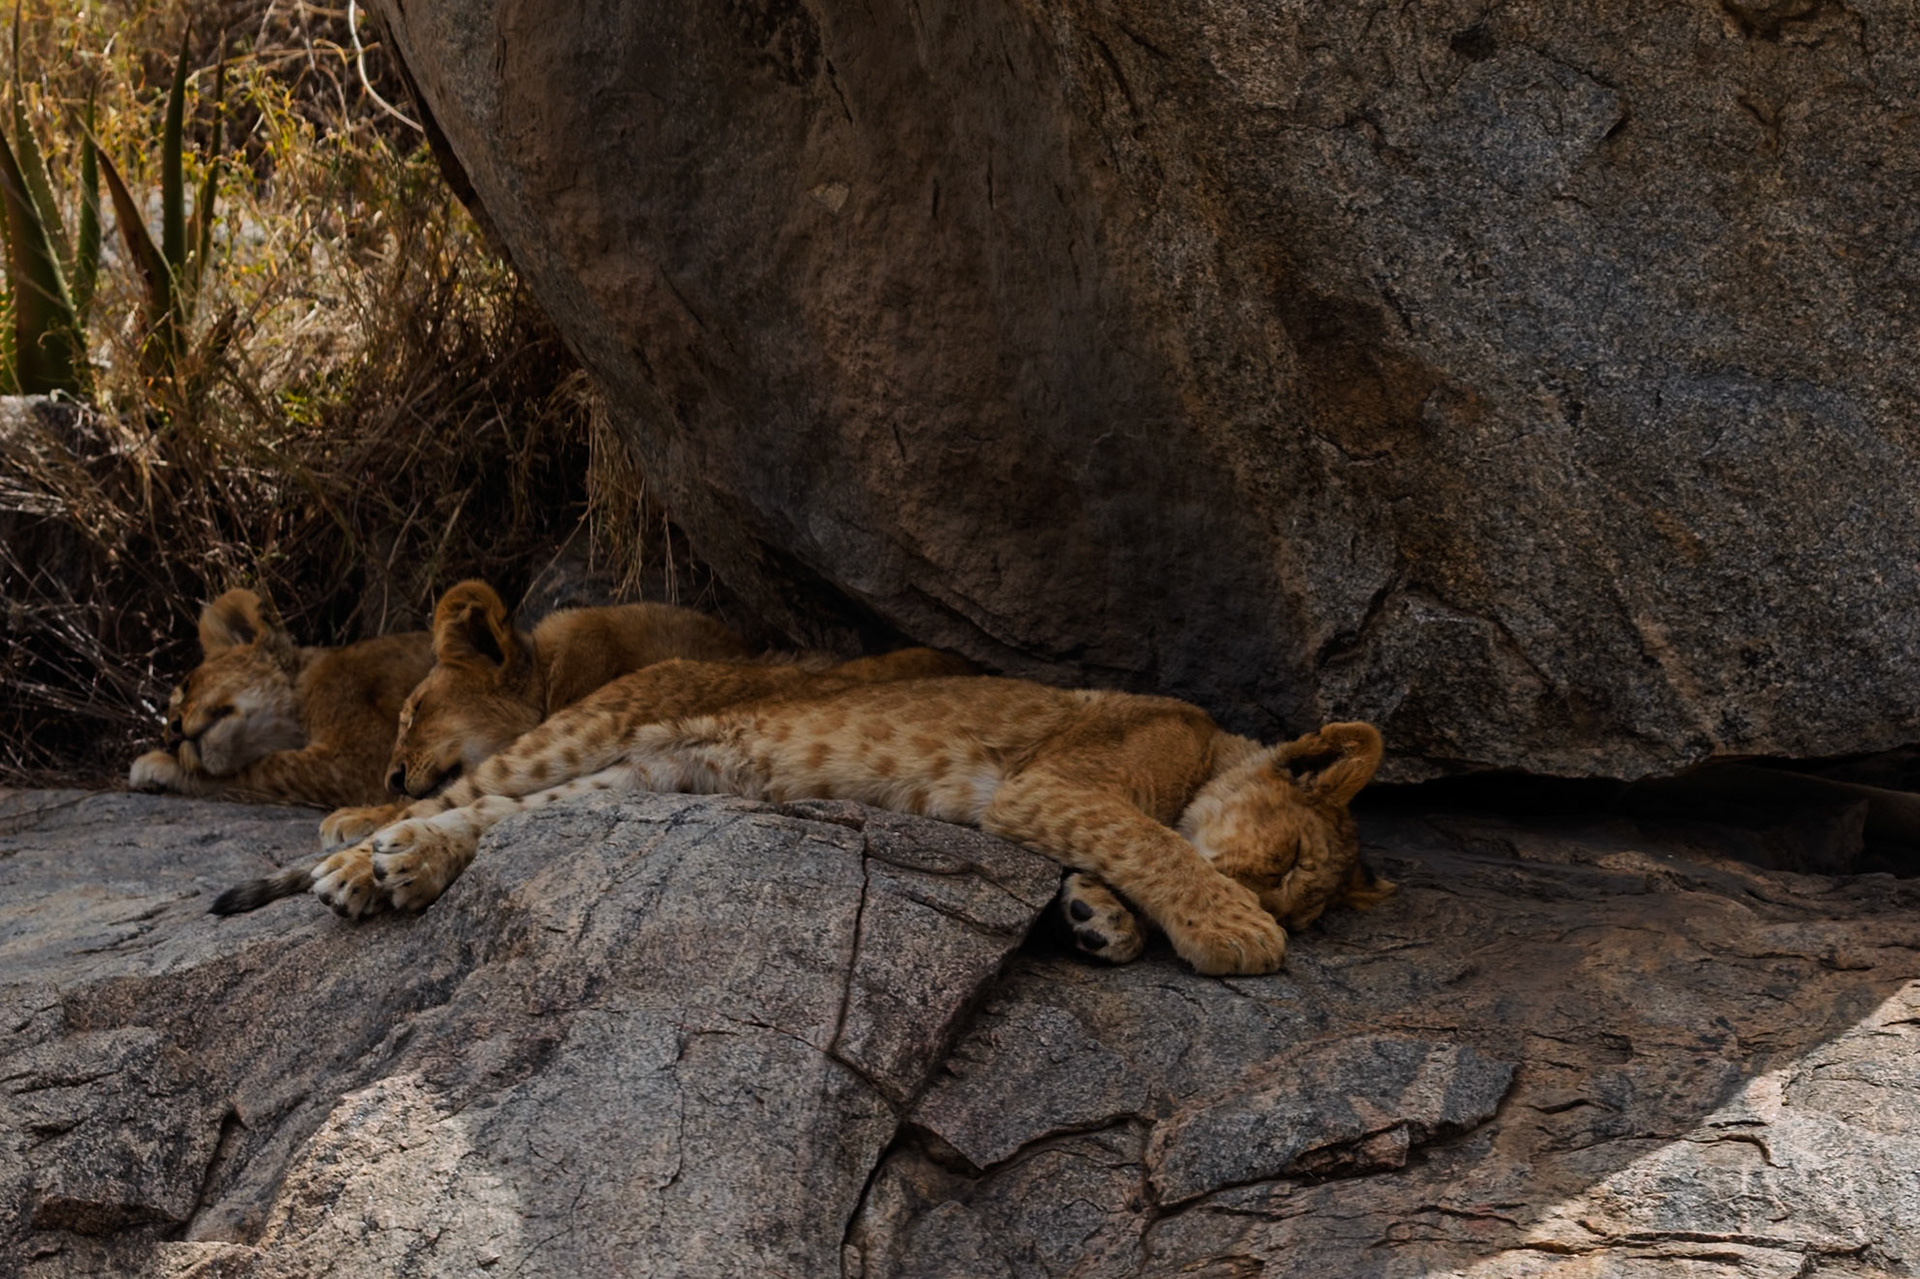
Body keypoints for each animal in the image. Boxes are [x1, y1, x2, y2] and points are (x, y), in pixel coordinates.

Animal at [126, 589, 435, 809]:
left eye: (187, 685)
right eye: (168, 741)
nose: (172, 737)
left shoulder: (359, 763)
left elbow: (260, 768)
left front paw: (156, 765)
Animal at [218, 664, 1388, 977]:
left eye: (1305, 890)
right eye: (1281, 861)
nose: (1268, 906)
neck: (1213, 744)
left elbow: (1137, 858)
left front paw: (1103, 918)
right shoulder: (1051, 785)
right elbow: (1155, 842)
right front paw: (1234, 931)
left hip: (640, 787)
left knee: (505, 821)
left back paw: (398, 867)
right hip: (582, 734)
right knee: (458, 792)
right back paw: (358, 843)